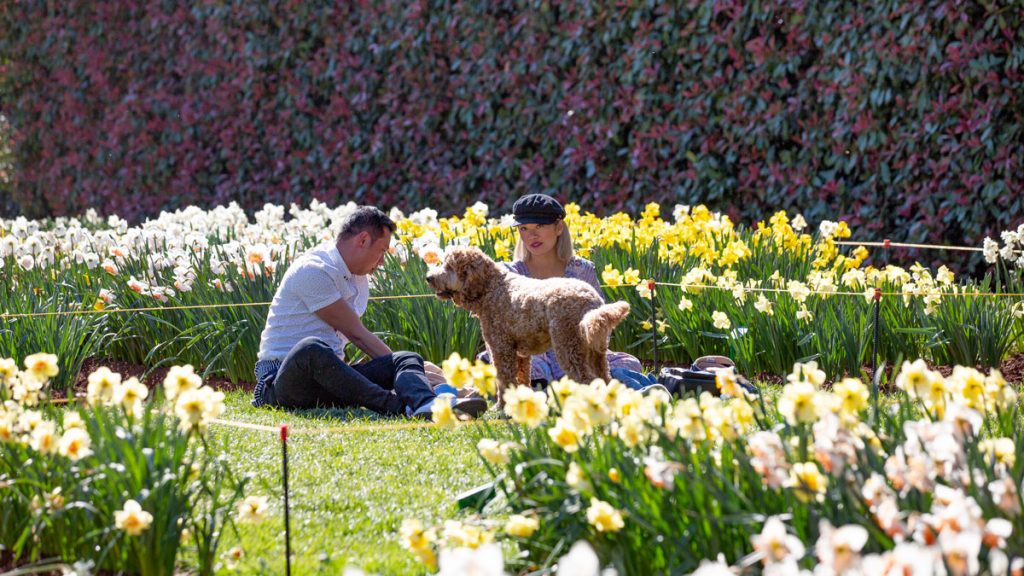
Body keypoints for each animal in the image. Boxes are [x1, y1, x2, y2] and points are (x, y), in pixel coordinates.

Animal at [425, 247, 630, 403]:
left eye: (449, 267)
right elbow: (521, 379)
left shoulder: (500, 349)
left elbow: (504, 381)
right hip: (595, 351)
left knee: (587, 380)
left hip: (568, 347)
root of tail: (592, 301)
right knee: (605, 379)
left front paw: (501, 409)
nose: (428, 277)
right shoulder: (520, 355)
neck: (492, 288)